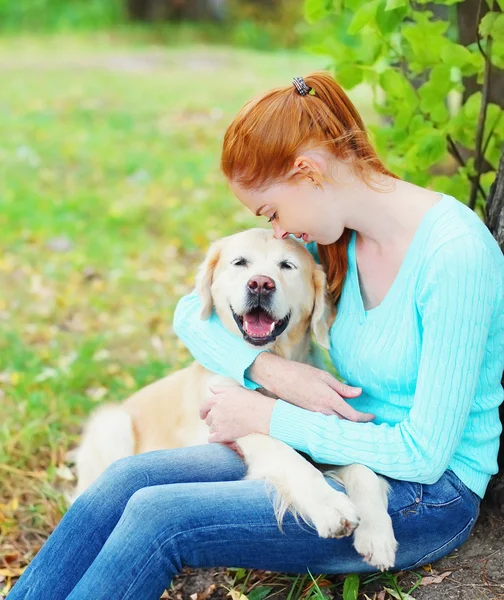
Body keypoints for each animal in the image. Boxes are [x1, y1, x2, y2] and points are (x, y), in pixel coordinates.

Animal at [69, 227, 398, 568]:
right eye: (240, 262)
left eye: (287, 266)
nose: (260, 284)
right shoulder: (232, 420)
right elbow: (286, 454)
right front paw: (330, 506)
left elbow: (363, 467)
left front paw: (376, 533)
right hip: (112, 424)